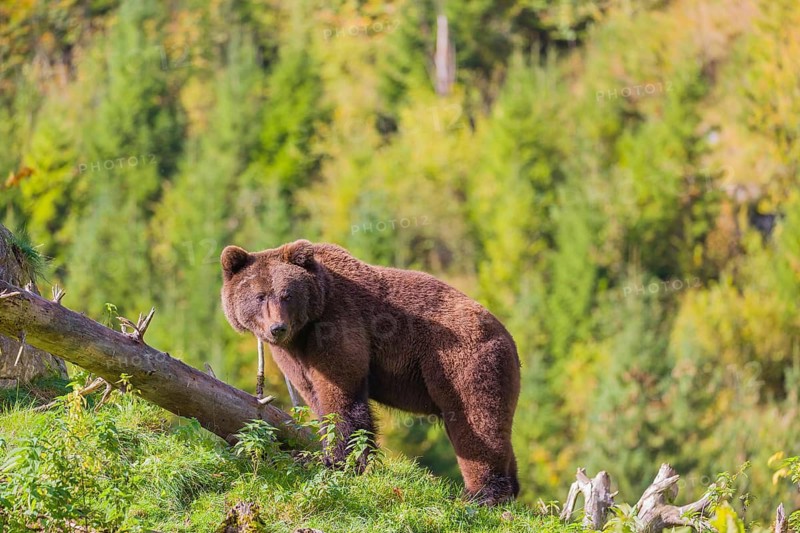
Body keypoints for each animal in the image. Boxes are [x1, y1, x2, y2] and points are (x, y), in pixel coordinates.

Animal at [220, 239, 521, 505]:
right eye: (259, 296)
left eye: (287, 294)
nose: (277, 328)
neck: (305, 329)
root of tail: (508, 336)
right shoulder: (295, 357)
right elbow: (316, 398)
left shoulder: (339, 325)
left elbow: (341, 398)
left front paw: (343, 462)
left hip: (462, 363)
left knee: (475, 422)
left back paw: (482, 495)